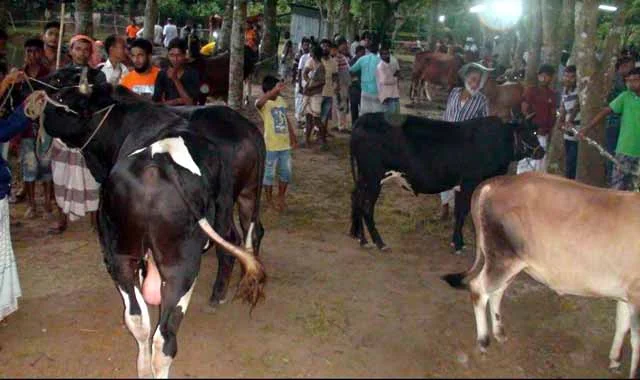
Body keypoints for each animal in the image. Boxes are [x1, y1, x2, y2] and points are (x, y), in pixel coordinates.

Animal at [348, 113, 544, 255]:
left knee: (356, 198)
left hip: (364, 178)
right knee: (366, 207)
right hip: (374, 178)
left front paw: (458, 242)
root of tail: (365, 118)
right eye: (532, 132)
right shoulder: (470, 183)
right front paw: (459, 244)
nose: (541, 151)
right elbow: (465, 213)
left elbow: (458, 213)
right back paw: (379, 243)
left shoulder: (460, 187)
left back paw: (360, 238)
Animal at [444, 171, 640, 378]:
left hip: (510, 262)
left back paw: (499, 332)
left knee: (496, 292)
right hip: (502, 259)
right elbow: (636, 341)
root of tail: (495, 182)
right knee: (478, 288)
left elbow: (622, 323)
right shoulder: (636, 295)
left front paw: (615, 360)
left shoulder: (626, 294)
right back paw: (483, 340)